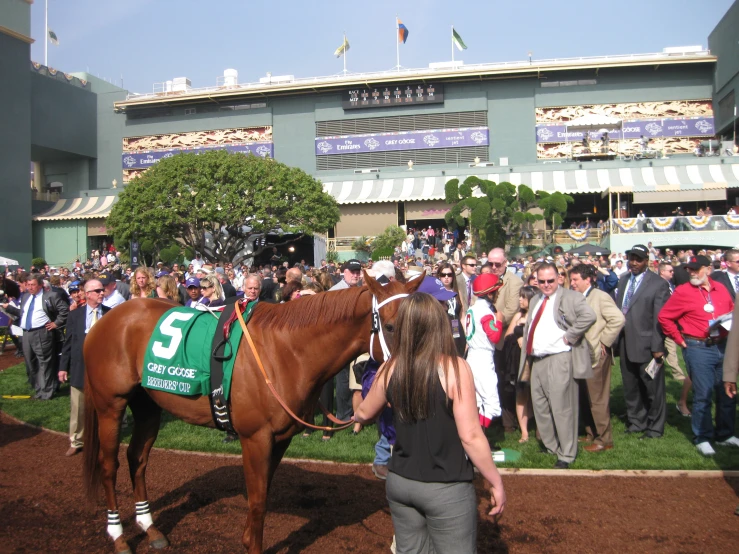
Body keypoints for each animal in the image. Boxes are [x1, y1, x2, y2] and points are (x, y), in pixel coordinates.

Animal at [83, 276, 420, 552]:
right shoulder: (255, 438)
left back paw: (150, 528)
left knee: (137, 458)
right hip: (111, 405)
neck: (286, 351)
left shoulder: (280, 439)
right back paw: (118, 536)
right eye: (391, 326)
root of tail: (105, 319)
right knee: (109, 465)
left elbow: (263, 494)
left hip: (148, 405)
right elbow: (257, 502)